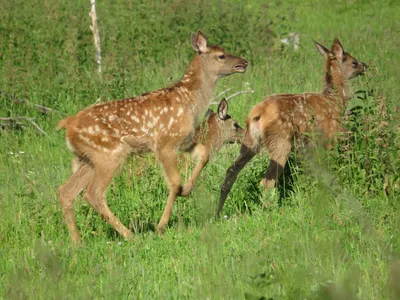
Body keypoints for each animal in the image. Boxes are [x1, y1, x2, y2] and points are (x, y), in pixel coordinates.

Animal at [57, 30, 248, 243]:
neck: (189, 101)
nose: (244, 62)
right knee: (93, 193)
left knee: (66, 191)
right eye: (221, 55)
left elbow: (204, 154)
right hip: (109, 154)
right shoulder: (164, 143)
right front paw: (161, 225)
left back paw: (77, 242)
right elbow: (174, 182)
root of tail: (67, 124)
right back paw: (129, 235)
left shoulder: (184, 141)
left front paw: (187, 189)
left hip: (87, 159)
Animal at [216, 38, 366, 214]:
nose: (364, 65)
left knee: (231, 171)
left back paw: (218, 213)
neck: (334, 101)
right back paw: (270, 211)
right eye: (354, 62)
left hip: (250, 141)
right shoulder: (329, 137)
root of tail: (256, 114)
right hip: (280, 141)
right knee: (266, 181)